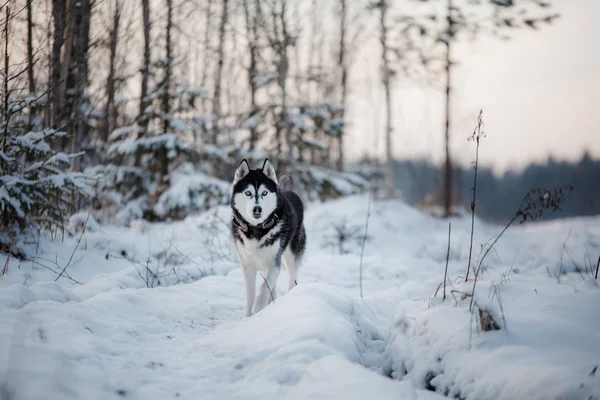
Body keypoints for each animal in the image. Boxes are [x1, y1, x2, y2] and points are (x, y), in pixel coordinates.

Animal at [230, 158, 304, 318]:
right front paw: (248, 316)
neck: (256, 230)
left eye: (264, 192)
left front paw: (258, 309)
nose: (257, 209)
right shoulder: (247, 265)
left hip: (290, 255)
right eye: (248, 193)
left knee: (292, 279)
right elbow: (250, 293)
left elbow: (264, 287)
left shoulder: (273, 262)